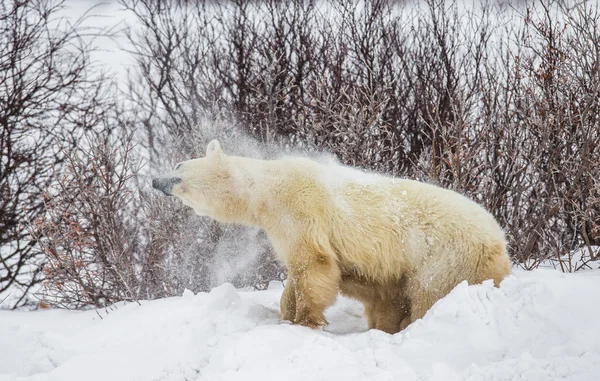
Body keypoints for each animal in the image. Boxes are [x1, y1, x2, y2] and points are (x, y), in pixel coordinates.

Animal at [154, 140, 510, 332]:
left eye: (180, 173)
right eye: (179, 163)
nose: (156, 181)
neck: (268, 188)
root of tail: (500, 244)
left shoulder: (300, 210)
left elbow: (314, 263)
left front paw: (305, 321)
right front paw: (286, 313)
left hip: (445, 258)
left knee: (430, 292)